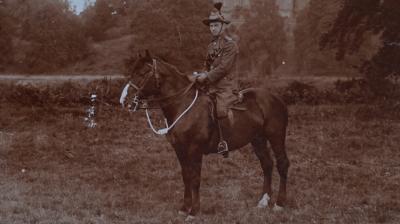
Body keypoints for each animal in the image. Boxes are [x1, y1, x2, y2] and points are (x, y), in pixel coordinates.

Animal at [120, 50, 290, 219]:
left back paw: (279, 203)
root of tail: (277, 98)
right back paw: (263, 201)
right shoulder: (179, 149)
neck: (183, 105)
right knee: (267, 164)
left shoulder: (195, 150)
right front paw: (184, 207)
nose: (125, 101)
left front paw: (194, 211)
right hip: (258, 139)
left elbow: (195, 178)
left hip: (276, 136)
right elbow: (186, 176)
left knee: (282, 164)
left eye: (142, 73)